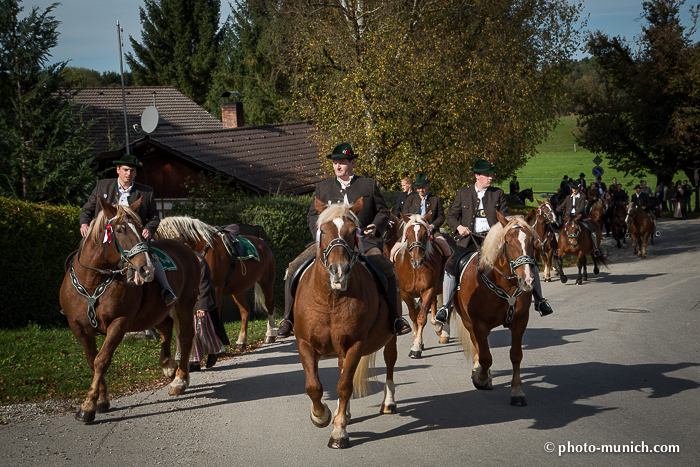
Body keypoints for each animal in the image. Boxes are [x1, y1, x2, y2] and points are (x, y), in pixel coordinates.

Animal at [59, 197, 200, 424]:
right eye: (119, 230)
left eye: (141, 229)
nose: (146, 269)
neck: (92, 283)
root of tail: (186, 249)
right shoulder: (78, 327)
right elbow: (92, 361)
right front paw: (101, 400)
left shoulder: (119, 323)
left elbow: (101, 360)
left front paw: (87, 406)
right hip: (152, 313)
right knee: (167, 328)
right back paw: (168, 365)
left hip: (184, 305)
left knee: (186, 337)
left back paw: (179, 380)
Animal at [156, 218, 276, 350]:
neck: (201, 246)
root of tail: (263, 243)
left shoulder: (216, 289)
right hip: (237, 289)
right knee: (245, 310)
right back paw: (241, 341)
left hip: (266, 282)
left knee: (270, 305)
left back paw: (270, 334)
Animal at [292, 197, 396, 450]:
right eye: (323, 231)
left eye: (352, 232)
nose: (338, 270)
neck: (331, 298)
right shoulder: (305, 344)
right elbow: (314, 386)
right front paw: (321, 416)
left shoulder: (355, 345)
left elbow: (344, 385)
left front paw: (339, 432)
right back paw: (344, 413)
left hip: (390, 337)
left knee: (389, 362)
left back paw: (388, 402)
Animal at [394, 211, 448, 358]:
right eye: (408, 234)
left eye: (425, 233)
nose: (417, 261)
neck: (415, 270)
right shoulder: (405, 293)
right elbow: (413, 315)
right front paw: (417, 339)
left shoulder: (428, 290)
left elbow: (421, 317)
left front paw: (416, 347)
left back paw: (443, 332)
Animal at [452, 212, 540, 406]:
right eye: (508, 242)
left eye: (532, 241)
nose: (527, 280)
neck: (504, 284)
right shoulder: (478, 324)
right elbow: (486, 357)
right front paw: (481, 378)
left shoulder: (520, 321)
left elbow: (516, 355)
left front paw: (517, 392)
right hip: (468, 322)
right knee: (478, 347)